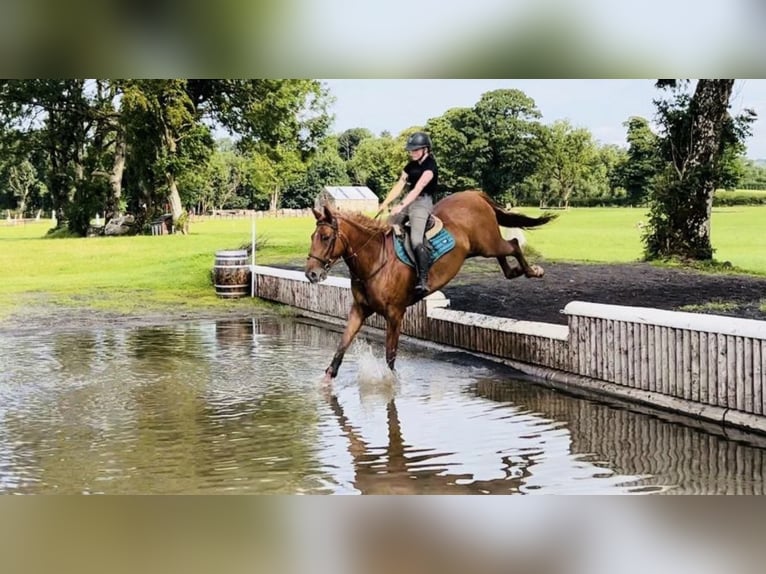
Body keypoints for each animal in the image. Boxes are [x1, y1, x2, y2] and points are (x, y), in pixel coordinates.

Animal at [305, 190, 556, 382]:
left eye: (325, 237)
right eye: (312, 237)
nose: (311, 273)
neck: (375, 259)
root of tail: (474, 194)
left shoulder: (395, 315)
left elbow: (390, 356)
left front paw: (391, 383)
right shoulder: (359, 310)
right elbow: (342, 345)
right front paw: (327, 379)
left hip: (488, 243)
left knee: (512, 244)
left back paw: (533, 271)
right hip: (483, 247)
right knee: (506, 256)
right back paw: (516, 271)